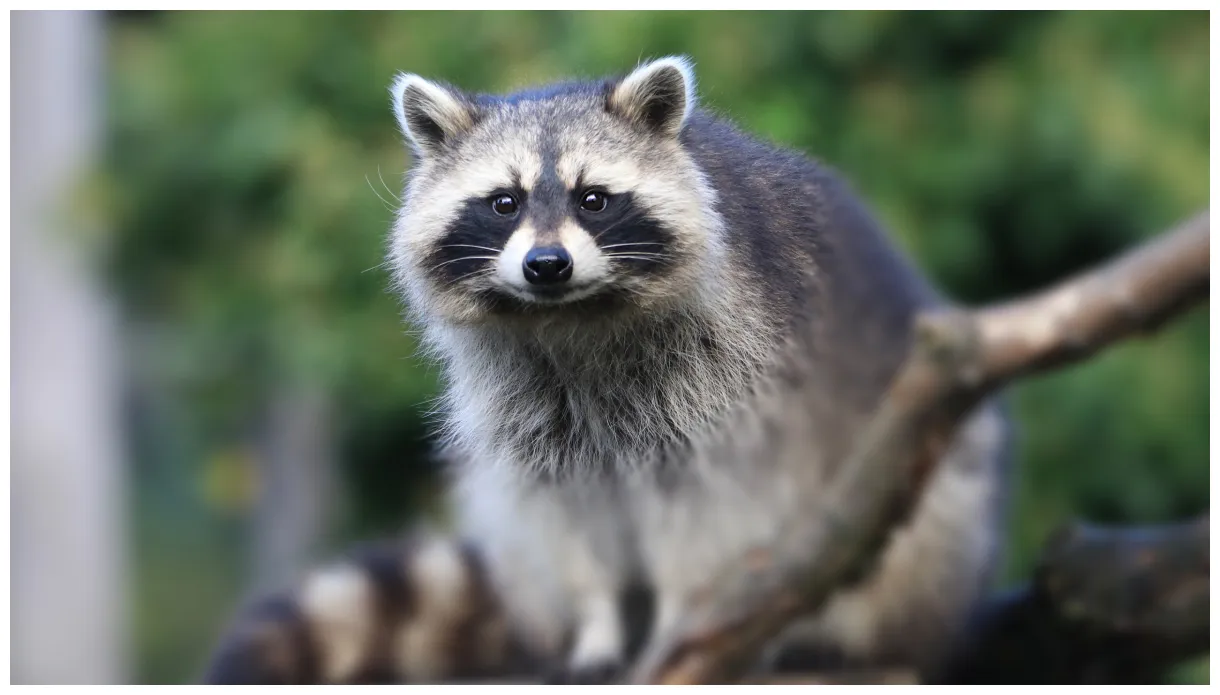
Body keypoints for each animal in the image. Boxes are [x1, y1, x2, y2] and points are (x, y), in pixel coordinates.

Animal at [203, 56, 1012, 684]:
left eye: (594, 199)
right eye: (503, 202)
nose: (546, 264)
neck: (570, 316)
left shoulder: (731, 388)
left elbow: (709, 521)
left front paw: (677, 627)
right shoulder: (532, 417)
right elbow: (568, 524)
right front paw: (596, 629)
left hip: (923, 495)